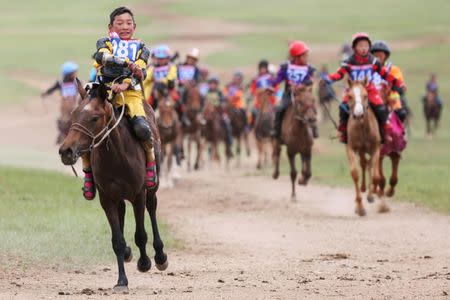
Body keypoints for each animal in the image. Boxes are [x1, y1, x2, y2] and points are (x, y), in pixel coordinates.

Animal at [58, 84, 167, 290]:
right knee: (122, 211)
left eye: (94, 118)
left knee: (152, 207)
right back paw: (127, 253)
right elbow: (117, 241)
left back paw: (159, 255)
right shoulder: (107, 198)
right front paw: (121, 280)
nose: (65, 151)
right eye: (74, 114)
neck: (117, 157)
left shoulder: (138, 195)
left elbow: (141, 234)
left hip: (151, 188)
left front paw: (145, 262)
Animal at [344, 79, 386, 216]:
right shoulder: (351, 148)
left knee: (370, 166)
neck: (362, 128)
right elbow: (355, 173)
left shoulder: (376, 148)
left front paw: (372, 195)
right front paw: (360, 207)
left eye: (366, 95)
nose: (358, 115)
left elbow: (376, 175)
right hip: (361, 150)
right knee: (364, 164)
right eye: (350, 96)